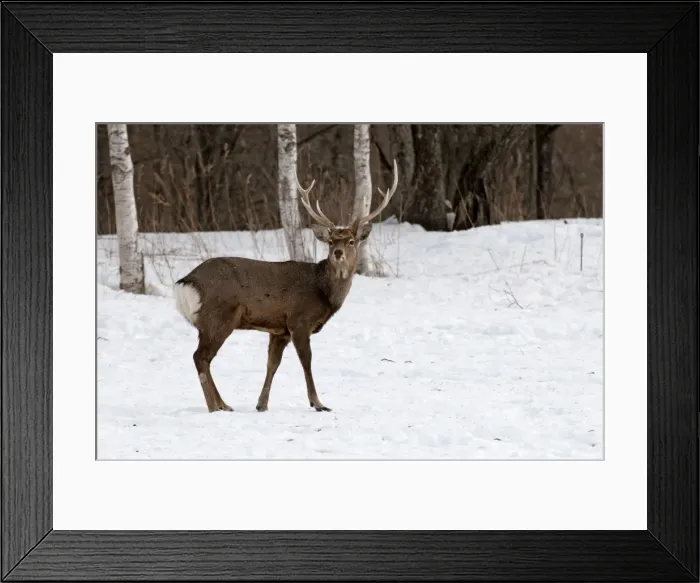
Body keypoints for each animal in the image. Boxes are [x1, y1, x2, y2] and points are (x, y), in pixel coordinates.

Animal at [173, 159, 399, 413]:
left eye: (351, 241)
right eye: (331, 241)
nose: (338, 253)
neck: (323, 292)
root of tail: (185, 282)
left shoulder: (279, 330)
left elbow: (272, 364)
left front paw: (262, 404)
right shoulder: (298, 320)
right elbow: (306, 362)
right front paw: (318, 403)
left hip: (211, 322)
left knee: (204, 358)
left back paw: (224, 404)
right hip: (219, 316)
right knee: (200, 357)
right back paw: (214, 407)